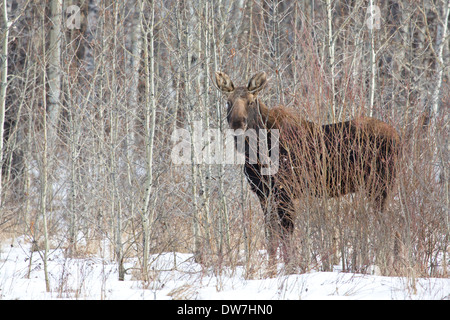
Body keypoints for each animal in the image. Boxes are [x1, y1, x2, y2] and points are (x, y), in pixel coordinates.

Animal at [215, 71, 400, 272]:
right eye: (228, 102)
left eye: (250, 102)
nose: (237, 123)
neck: (256, 152)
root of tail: (398, 137)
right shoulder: (263, 193)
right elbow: (271, 237)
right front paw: (272, 271)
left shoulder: (285, 192)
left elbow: (286, 234)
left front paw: (290, 269)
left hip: (380, 186)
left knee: (390, 224)